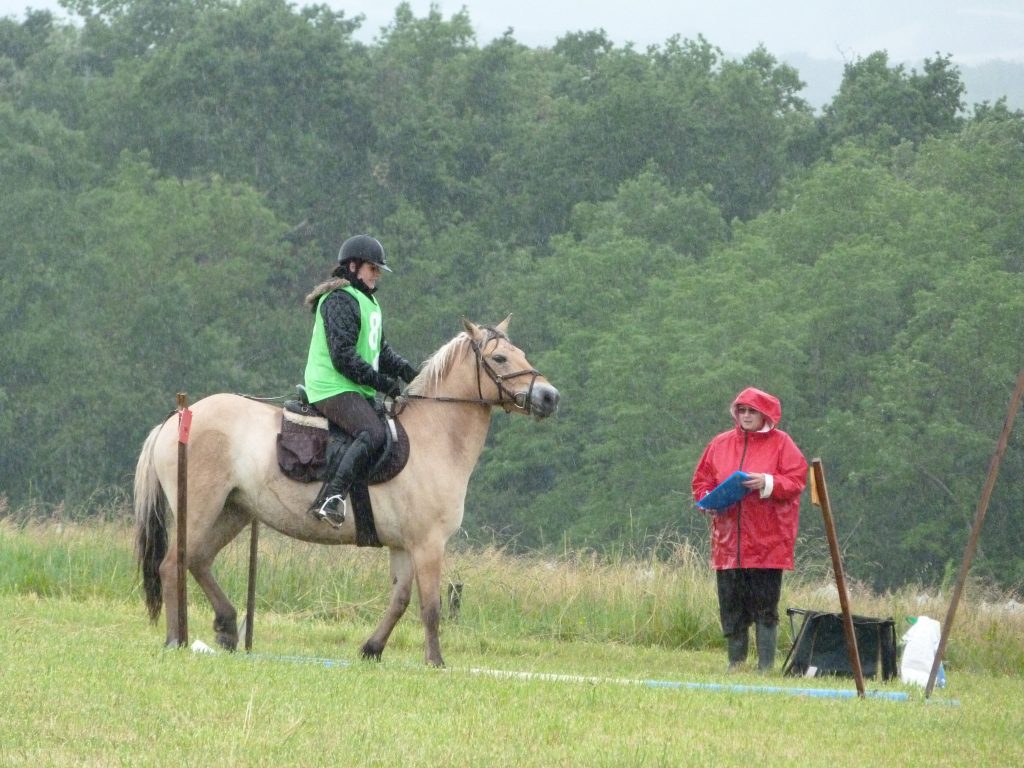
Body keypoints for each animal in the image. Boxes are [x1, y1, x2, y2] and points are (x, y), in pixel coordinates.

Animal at [134, 319, 561, 667]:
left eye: (521, 353)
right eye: (501, 358)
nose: (549, 397)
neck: (434, 437)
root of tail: (178, 418)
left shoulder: (404, 546)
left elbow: (399, 600)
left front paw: (371, 649)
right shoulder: (429, 544)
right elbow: (430, 606)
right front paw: (436, 662)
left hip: (233, 511)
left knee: (198, 560)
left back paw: (225, 627)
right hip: (200, 508)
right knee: (172, 565)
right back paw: (176, 640)